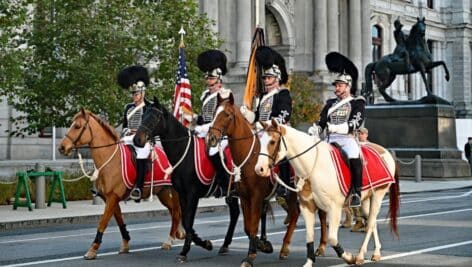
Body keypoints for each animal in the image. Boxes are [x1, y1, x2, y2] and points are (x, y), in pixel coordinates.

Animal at [57, 108, 184, 260]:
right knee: (174, 211)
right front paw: (125, 244)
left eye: (77, 126)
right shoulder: (111, 198)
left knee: (176, 212)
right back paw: (173, 237)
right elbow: (119, 221)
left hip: (173, 191)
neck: (110, 160)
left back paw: (170, 241)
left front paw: (93, 249)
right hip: (163, 192)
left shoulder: (112, 197)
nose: (62, 147)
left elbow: (103, 222)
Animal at [134, 97, 242, 264]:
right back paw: (225, 245)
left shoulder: (192, 194)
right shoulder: (182, 194)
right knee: (235, 212)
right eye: (143, 116)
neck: (183, 152)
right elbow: (185, 220)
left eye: (155, 117)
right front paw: (204, 243)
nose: (137, 140)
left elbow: (187, 220)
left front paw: (185, 250)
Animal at [206, 94, 328, 266]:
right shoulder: (244, 197)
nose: (211, 138)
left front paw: (251, 255)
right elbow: (247, 226)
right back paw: (284, 248)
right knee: (295, 213)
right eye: (215, 113)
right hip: (291, 194)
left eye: (227, 115)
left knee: (321, 214)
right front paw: (262, 245)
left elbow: (253, 225)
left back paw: (321, 247)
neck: (248, 158)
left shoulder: (257, 197)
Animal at [254, 120, 398, 266]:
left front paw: (349, 257)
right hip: (366, 199)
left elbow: (332, 238)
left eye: (272, 141)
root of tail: (384, 150)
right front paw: (309, 261)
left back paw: (360, 255)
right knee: (372, 222)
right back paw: (376, 253)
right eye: (259, 141)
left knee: (370, 224)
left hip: (378, 195)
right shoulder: (307, 206)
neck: (312, 166)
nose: (259, 169)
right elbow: (309, 236)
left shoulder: (334, 208)